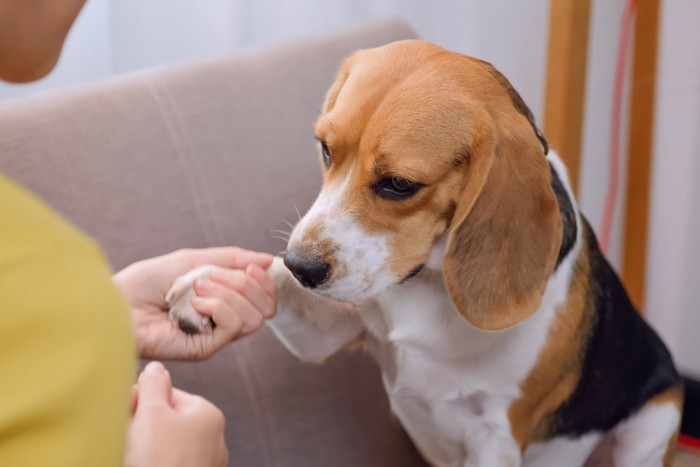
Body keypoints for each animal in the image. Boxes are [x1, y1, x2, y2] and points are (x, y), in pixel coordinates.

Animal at [168, 40, 684, 467]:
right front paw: (210, 285)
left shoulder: (494, 438)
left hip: (655, 417)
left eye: (399, 184)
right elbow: (271, 277)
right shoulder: (332, 331)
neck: (427, 286)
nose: (303, 266)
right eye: (326, 150)